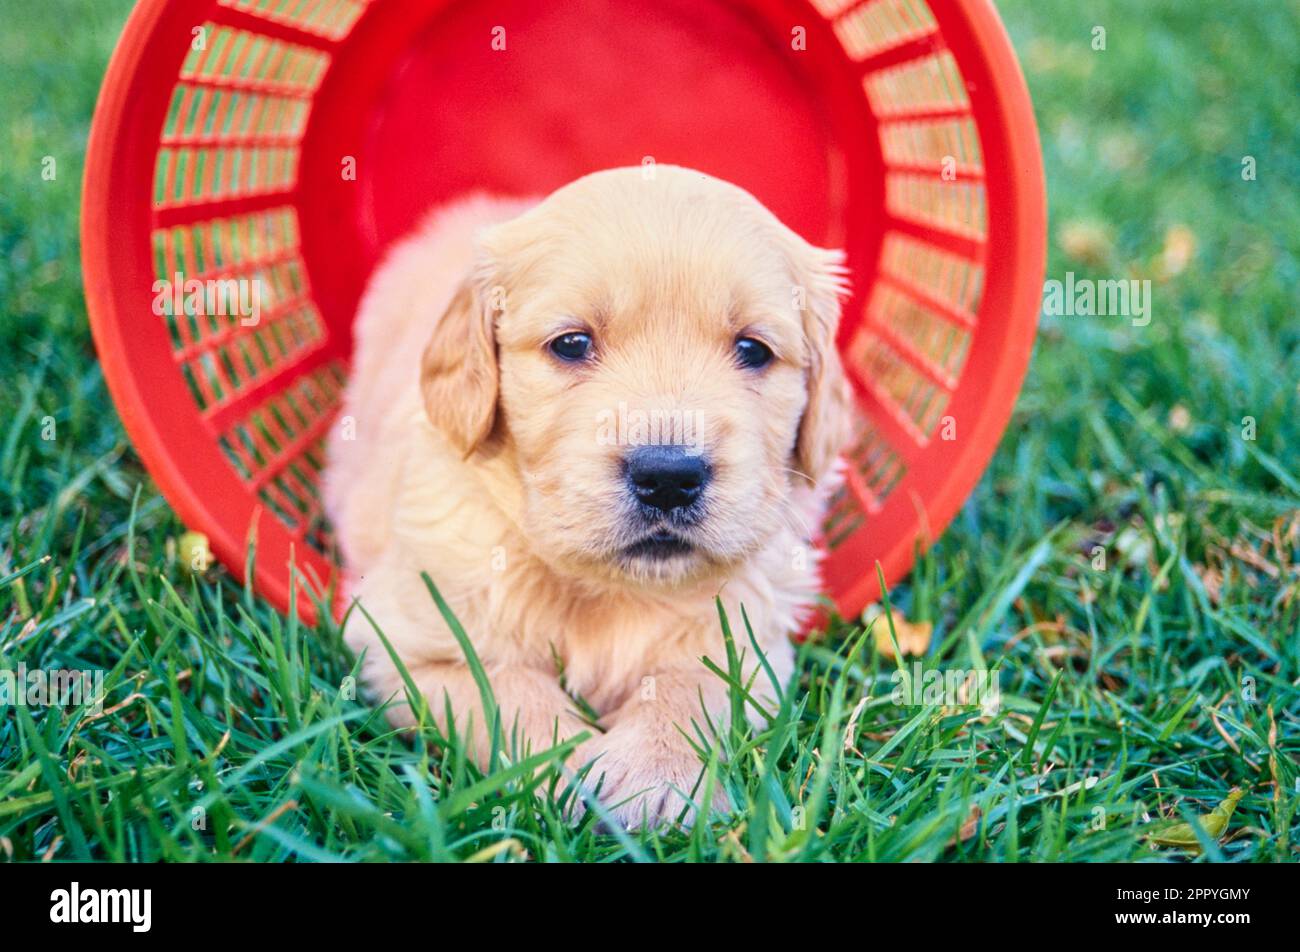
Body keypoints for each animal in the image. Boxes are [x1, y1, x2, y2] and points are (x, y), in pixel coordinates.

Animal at [325, 167, 852, 827]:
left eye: (753, 349)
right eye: (572, 343)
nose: (668, 476)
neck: (607, 589)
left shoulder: (754, 643)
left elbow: (698, 684)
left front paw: (654, 775)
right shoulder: (403, 640)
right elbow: (503, 689)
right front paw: (566, 770)